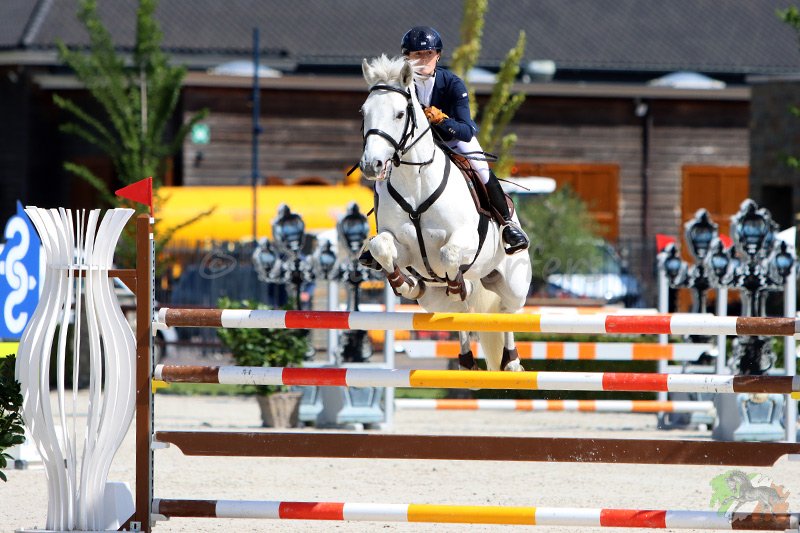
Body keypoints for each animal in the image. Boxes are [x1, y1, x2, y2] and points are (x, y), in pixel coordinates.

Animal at [358, 55, 532, 370]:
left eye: (400, 114)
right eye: (364, 112)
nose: (371, 165)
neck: (415, 183)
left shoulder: (464, 239)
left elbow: (448, 254)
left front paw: (455, 281)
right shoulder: (403, 249)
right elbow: (382, 248)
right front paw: (405, 283)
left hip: (513, 285)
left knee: (505, 311)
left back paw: (511, 361)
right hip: (436, 302)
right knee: (460, 310)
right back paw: (463, 354)